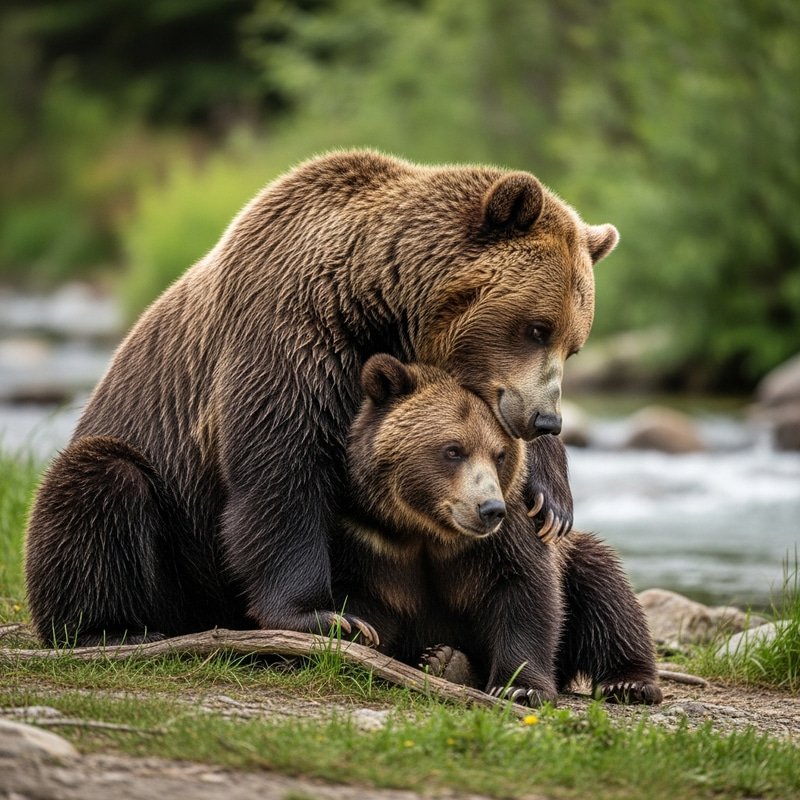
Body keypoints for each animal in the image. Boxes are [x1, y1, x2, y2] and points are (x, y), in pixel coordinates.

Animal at [24, 150, 619, 647]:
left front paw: (551, 500)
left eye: (574, 343)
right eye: (537, 328)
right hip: (166, 521)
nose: (546, 420)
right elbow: (281, 473)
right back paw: (109, 627)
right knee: (99, 482)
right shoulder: (291, 338)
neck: (376, 301)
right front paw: (326, 615)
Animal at [331, 354, 662, 706]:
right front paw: (357, 635)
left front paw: (521, 687)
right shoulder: (365, 537)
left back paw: (629, 683)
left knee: (605, 593)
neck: (428, 530)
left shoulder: (507, 534)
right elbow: (358, 597)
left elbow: (524, 592)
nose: (490, 509)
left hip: (574, 560)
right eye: (453, 449)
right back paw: (445, 661)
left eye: (499, 455)